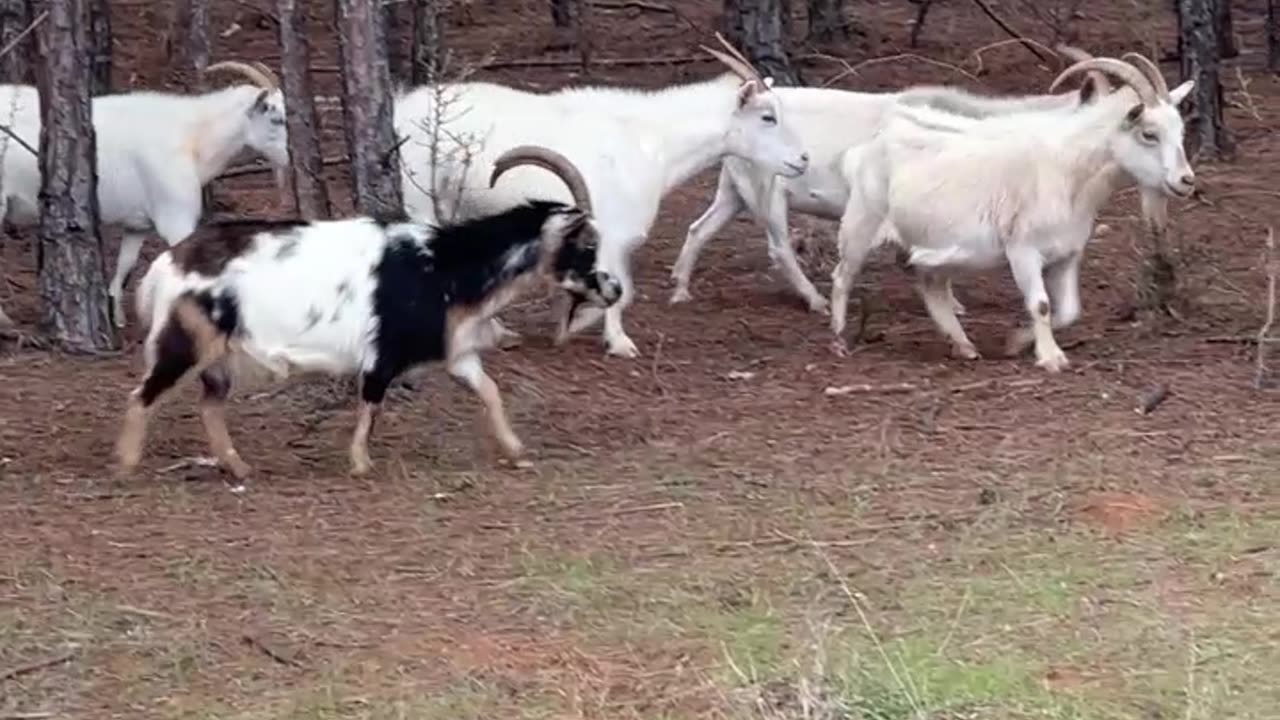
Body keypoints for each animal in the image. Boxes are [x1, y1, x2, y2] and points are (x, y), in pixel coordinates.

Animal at [0, 61, 289, 328]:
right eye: (276, 118)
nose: (289, 158)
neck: (192, 139)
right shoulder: (176, 218)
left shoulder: (137, 225)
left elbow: (125, 265)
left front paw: (117, 317)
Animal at [115, 147, 621, 480]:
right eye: (587, 244)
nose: (614, 289)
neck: (444, 266)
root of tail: (166, 266)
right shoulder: (384, 352)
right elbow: (371, 403)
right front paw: (360, 463)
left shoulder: (457, 355)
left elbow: (491, 392)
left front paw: (517, 450)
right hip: (185, 341)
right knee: (142, 395)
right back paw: (126, 466)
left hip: (219, 358)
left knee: (209, 405)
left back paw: (239, 467)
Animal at [393, 33, 809, 359]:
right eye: (768, 116)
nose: (802, 159)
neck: (650, 140)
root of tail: (398, 112)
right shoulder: (610, 233)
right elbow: (619, 292)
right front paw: (614, 340)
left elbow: (619, 289)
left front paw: (570, 321)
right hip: (419, 201)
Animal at [668, 47, 1118, 313]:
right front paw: (953, 307)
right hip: (767, 190)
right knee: (779, 248)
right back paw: (816, 301)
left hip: (734, 189)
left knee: (698, 228)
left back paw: (680, 289)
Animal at [826, 55, 1194, 372]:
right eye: (1149, 134)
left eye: (1181, 132)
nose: (1186, 181)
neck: (1067, 171)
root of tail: (867, 148)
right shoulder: (1023, 250)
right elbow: (1041, 304)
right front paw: (1051, 358)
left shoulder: (1067, 254)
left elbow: (1068, 311)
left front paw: (1016, 342)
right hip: (861, 222)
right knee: (842, 276)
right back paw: (839, 339)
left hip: (931, 243)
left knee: (932, 286)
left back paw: (964, 346)